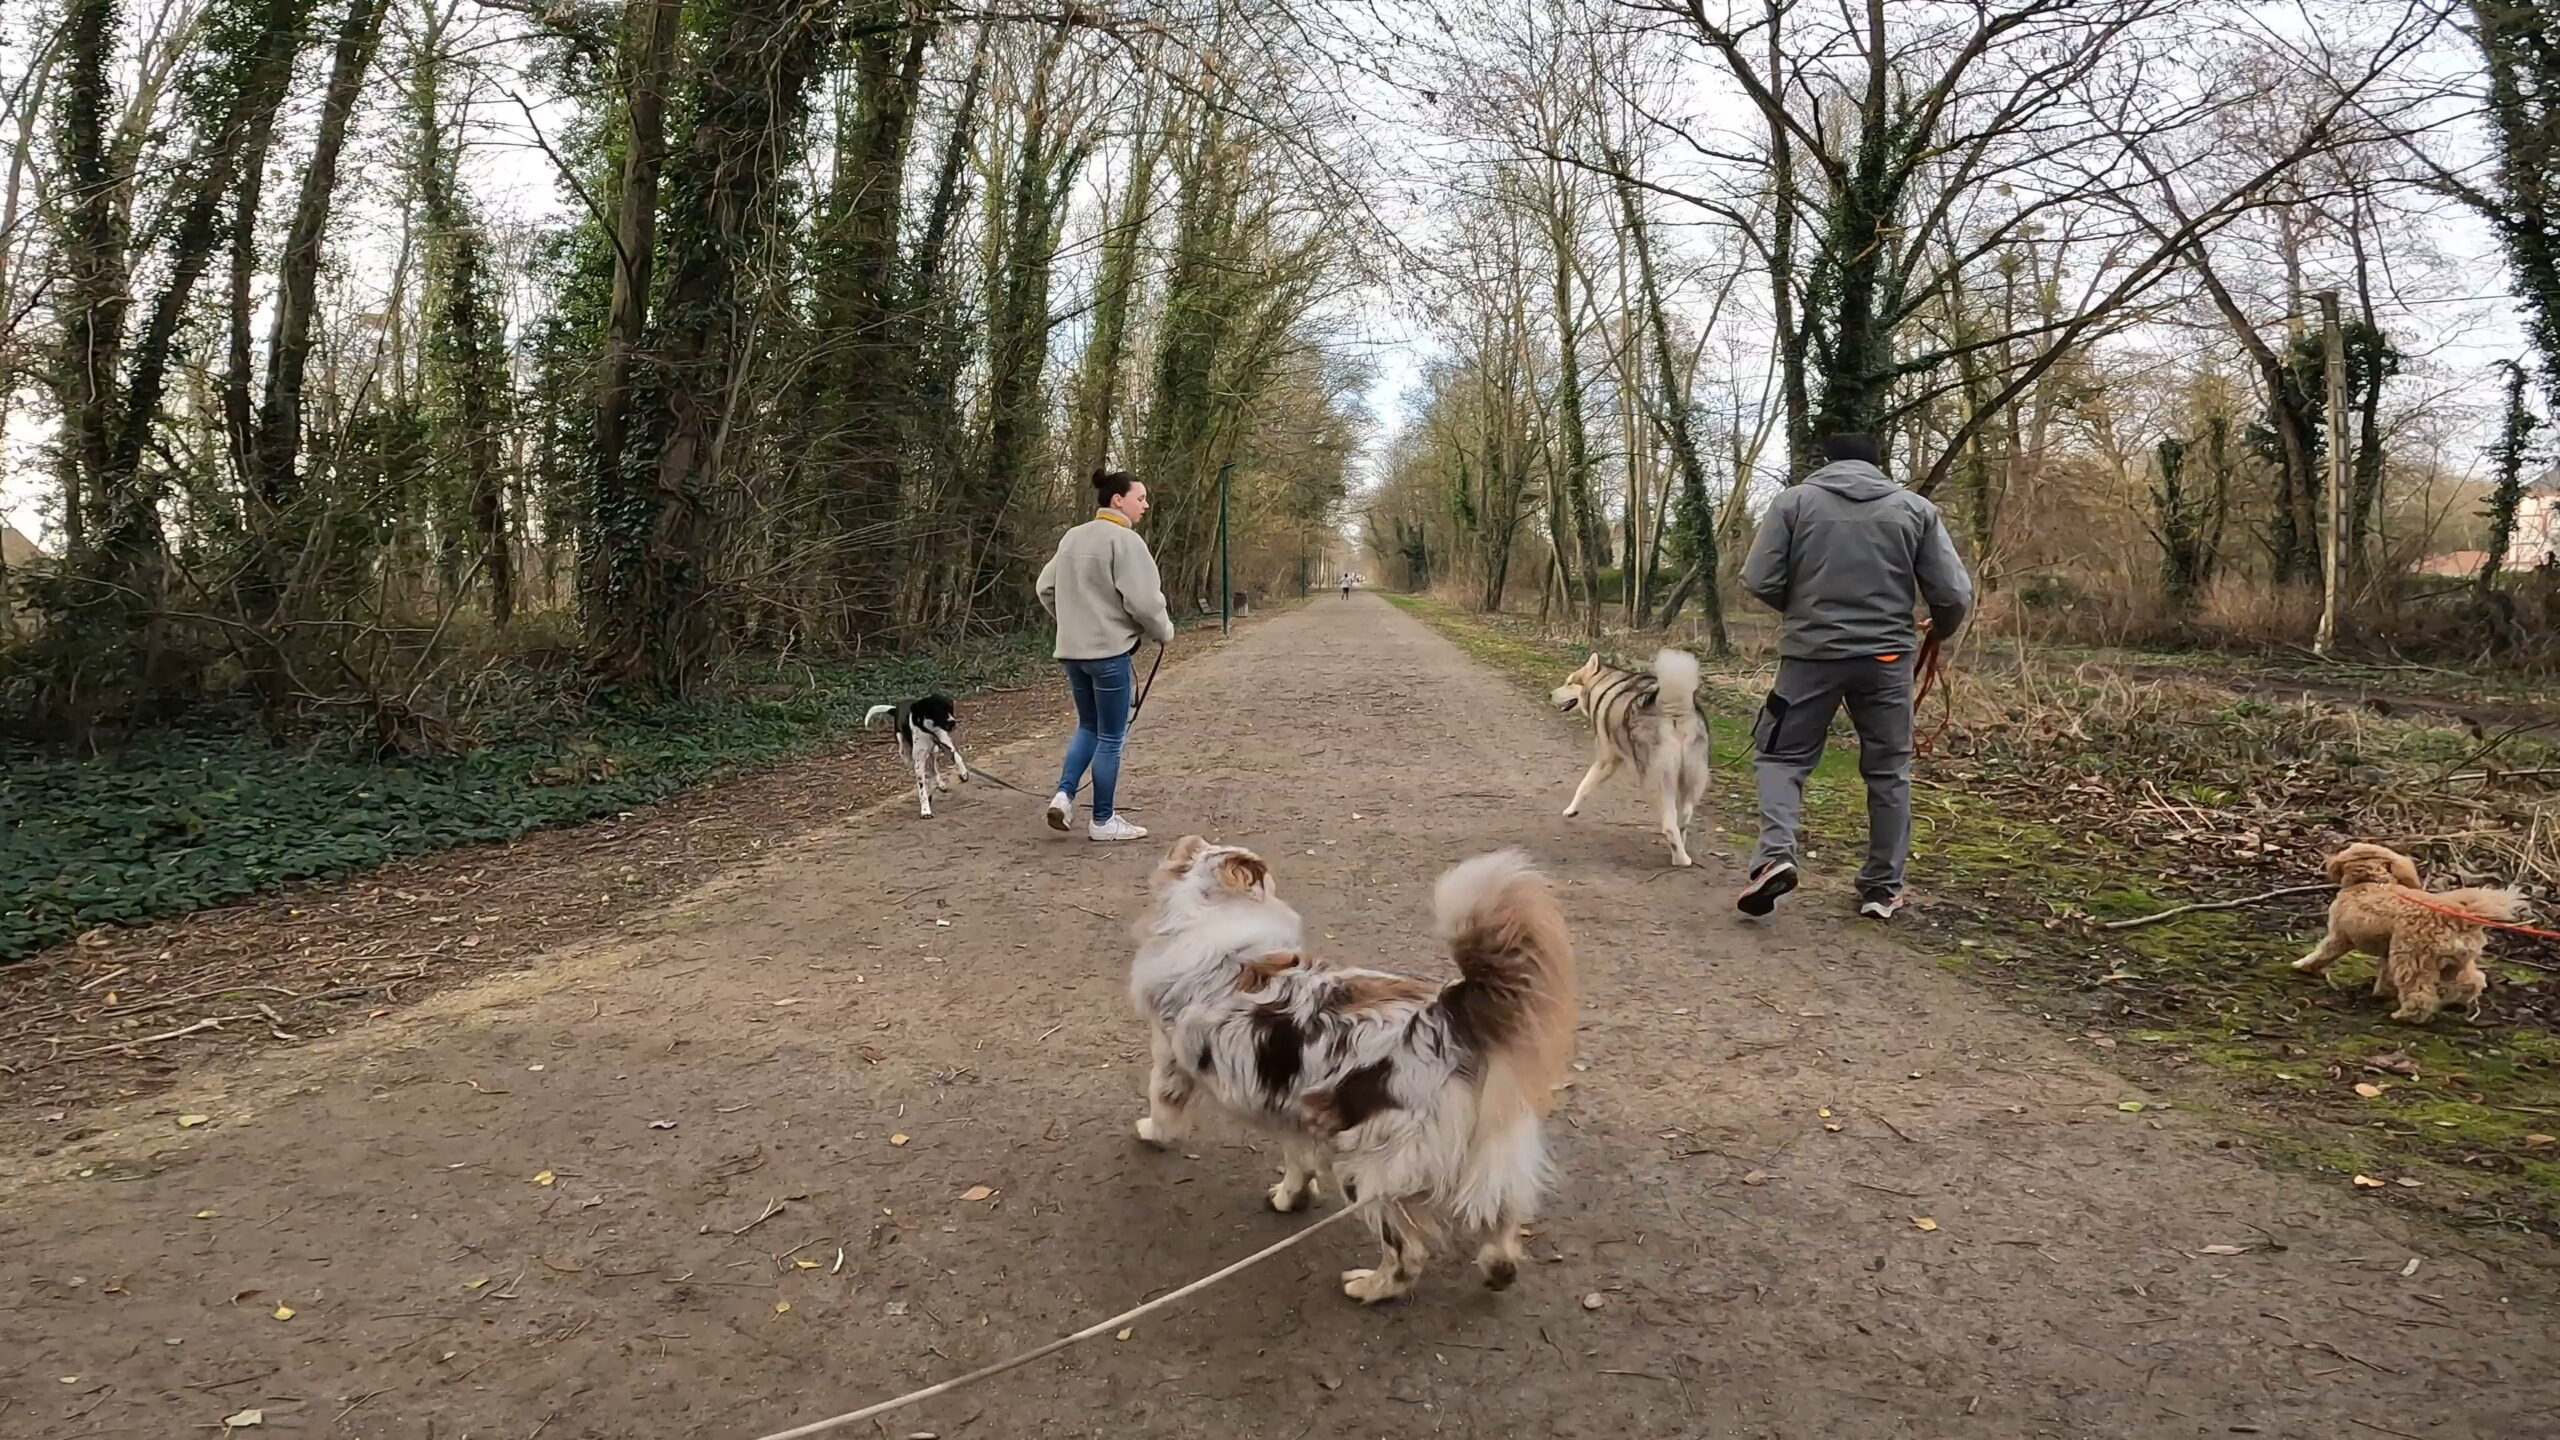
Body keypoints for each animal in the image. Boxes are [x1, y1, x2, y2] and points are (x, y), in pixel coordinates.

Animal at [1546, 650, 1710, 860]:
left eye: (1569, 683)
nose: (1549, 694)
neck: (1603, 683)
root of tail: (1673, 709)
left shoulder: (1607, 760)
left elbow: (1583, 786)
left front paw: (1570, 810)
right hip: (1690, 777)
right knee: (1685, 815)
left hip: (1657, 781)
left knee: (1670, 823)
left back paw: (1680, 858)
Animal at [2304, 840, 2519, 1019]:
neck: (2372, 881)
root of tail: (2458, 918)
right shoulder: (2388, 949)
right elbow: (2385, 974)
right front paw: (2382, 992)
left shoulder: (2339, 936)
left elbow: (2323, 953)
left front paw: (2304, 966)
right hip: (2456, 961)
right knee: (2473, 981)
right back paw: (2457, 1001)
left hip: (2412, 958)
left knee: (2419, 995)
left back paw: (2405, 1016)